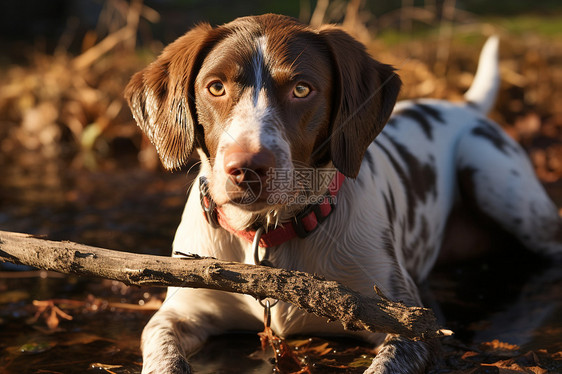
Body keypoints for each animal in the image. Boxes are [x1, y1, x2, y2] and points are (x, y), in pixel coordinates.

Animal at [123, 13, 560, 372]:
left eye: (302, 89)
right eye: (215, 87)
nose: (247, 168)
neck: (268, 234)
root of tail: (463, 106)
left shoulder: (405, 321)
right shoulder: (177, 314)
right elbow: (163, 354)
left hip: (491, 171)